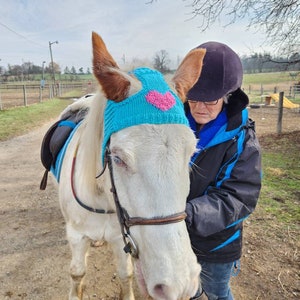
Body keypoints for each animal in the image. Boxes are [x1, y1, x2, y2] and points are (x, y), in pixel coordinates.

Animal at [53, 32, 206, 300]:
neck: (102, 201)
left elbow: (126, 275)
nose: (180, 285)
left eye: (191, 153)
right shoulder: (76, 236)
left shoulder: (118, 238)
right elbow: (77, 273)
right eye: (117, 158)